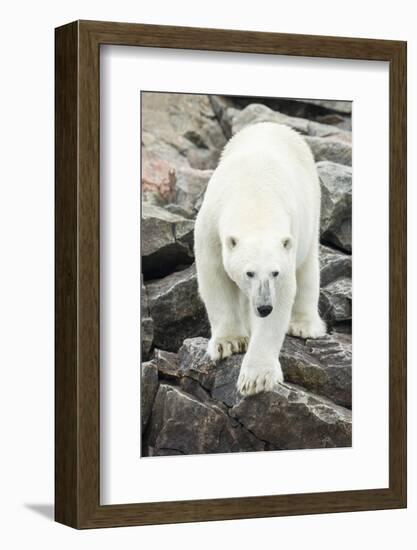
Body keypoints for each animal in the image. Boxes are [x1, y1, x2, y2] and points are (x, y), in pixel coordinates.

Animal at [193, 121, 326, 396]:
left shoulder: (288, 241)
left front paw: (256, 378)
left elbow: (285, 294)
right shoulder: (210, 225)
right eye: (249, 272)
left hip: (312, 209)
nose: (264, 307)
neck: (255, 198)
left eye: (274, 273)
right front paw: (228, 343)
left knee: (308, 268)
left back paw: (304, 325)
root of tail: (273, 124)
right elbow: (214, 277)